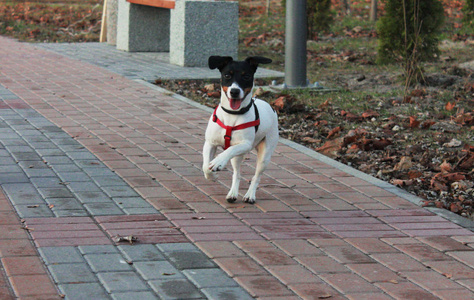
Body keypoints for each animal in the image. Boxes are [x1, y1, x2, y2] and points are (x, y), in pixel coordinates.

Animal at [203, 55, 278, 204]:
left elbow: (228, 151)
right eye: (227, 75)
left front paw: (218, 162)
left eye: (246, 76)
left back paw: (250, 195)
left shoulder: (245, 144)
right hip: (237, 158)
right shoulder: (210, 143)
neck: (232, 114)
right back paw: (232, 193)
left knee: (256, 176)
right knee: (237, 173)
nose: (234, 91)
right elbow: (205, 167)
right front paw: (212, 176)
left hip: (265, 155)